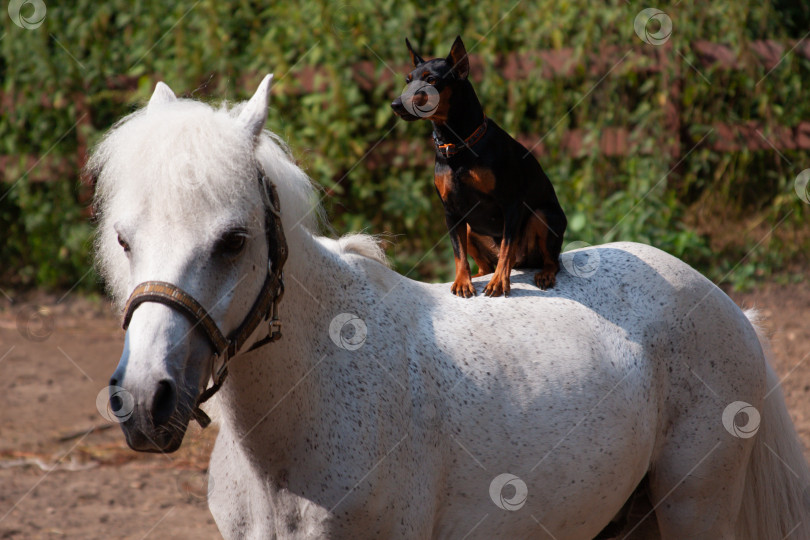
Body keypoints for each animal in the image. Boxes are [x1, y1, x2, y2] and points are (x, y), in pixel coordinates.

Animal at [388, 35, 564, 298]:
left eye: (431, 80)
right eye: (408, 80)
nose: (396, 104)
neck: (457, 146)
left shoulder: (511, 204)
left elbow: (507, 247)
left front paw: (499, 282)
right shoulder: (451, 211)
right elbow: (458, 253)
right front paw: (462, 282)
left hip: (543, 216)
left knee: (547, 260)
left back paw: (543, 274)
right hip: (471, 228)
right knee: (486, 263)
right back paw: (479, 275)